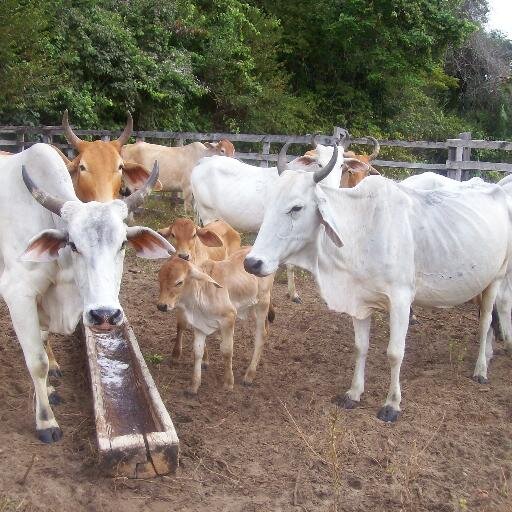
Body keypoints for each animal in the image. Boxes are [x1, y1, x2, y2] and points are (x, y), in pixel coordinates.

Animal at [0, 145, 174, 444]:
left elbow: (43, 345)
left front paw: (49, 391)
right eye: (72, 244)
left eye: (123, 243)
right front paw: (45, 421)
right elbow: (37, 362)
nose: (104, 314)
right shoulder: (19, 296)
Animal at [157, 246, 274, 394]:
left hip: (262, 303)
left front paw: (228, 383)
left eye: (179, 282)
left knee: (261, 335)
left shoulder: (229, 318)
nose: (162, 305)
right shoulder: (198, 325)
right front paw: (194, 386)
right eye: (159, 280)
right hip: (252, 307)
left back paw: (249, 375)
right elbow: (197, 352)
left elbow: (227, 351)